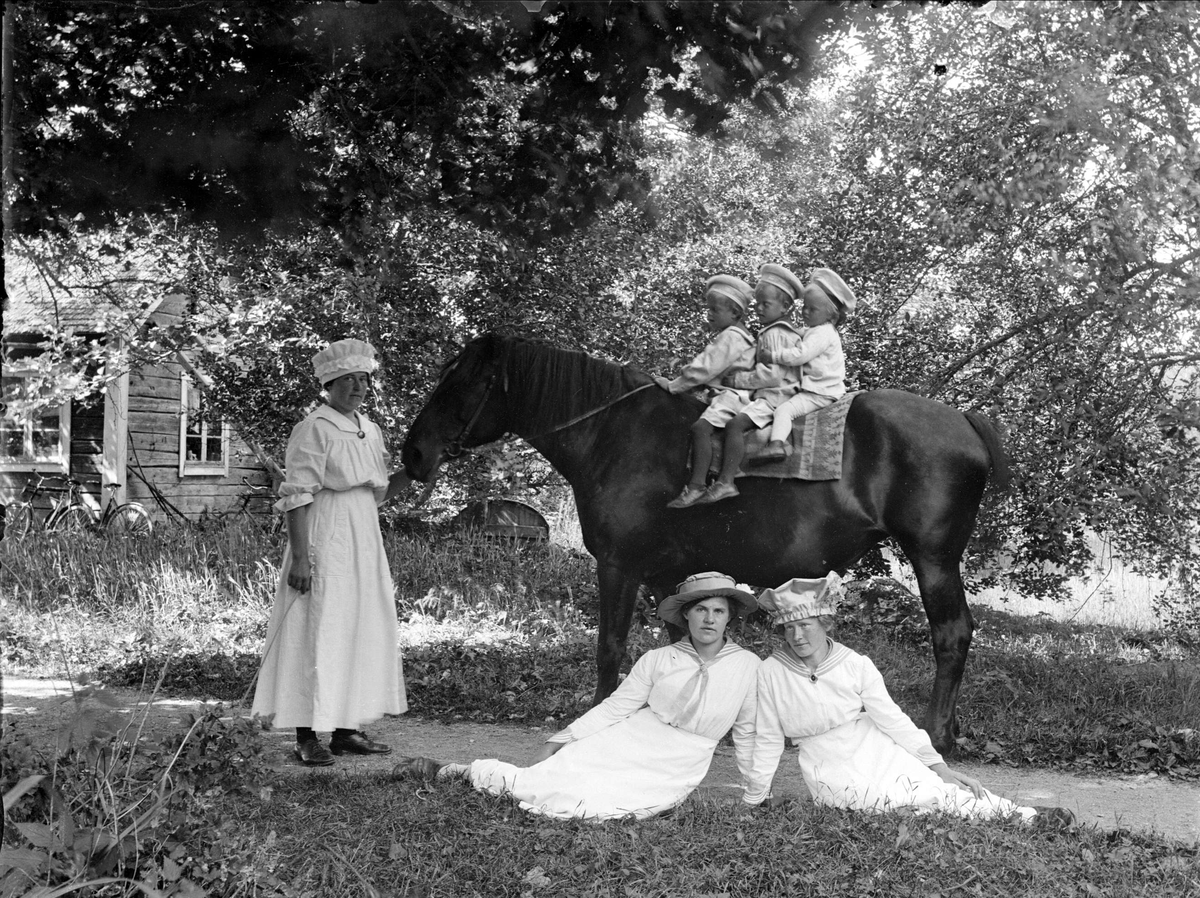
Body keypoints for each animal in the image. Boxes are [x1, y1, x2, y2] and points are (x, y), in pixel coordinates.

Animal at [401, 333, 1011, 753]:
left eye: (460, 382)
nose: (413, 454)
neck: (614, 436)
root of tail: (964, 420)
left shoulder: (619, 566)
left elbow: (609, 649)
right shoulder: (663, 576)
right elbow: (679, 644)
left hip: (934, 559)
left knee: (952, 635)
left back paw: (937, 734)